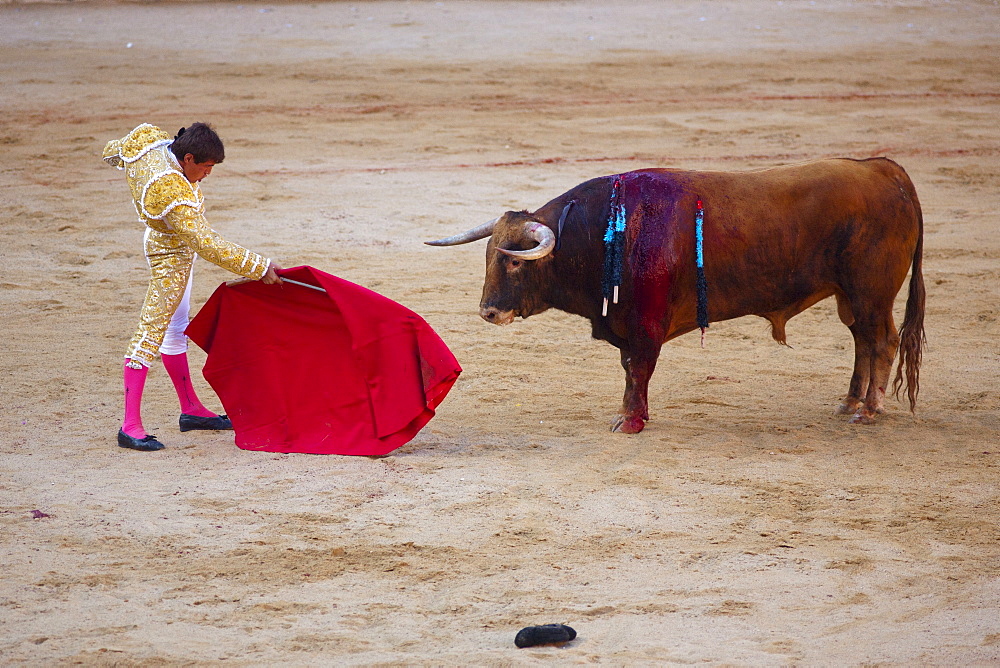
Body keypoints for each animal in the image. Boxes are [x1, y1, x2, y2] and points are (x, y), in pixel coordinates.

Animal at [426, 158, 924, 434]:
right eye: (488, 255)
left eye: (514, 262)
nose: (488, 312)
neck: (601, 233)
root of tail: (885, 169)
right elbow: (631, 370)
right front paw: (630, 415)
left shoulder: (645, 323)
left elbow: (638, 368)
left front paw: (630, 423)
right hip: (850, 297)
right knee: (862, 342)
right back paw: (849, 403)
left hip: (871, 293)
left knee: (881, 341)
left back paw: (869, 412)